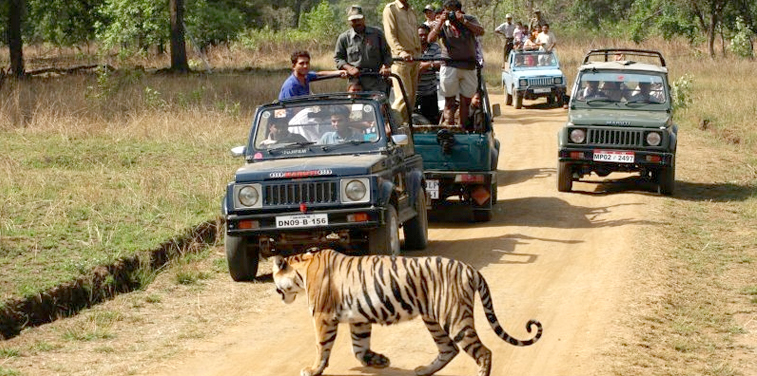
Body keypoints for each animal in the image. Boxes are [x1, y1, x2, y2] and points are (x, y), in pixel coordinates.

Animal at [268, 247, 540, 376]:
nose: (275, 291)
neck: (303, 268)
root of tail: (470, 268)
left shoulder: (322, 317)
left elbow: (321, 346)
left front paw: (313, 369)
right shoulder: (358, 319)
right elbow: (359, 347)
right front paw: (378, 361)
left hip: (454, 318)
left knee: (483, 352)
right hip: (433, 319)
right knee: (448, 349)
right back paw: (423, 370)